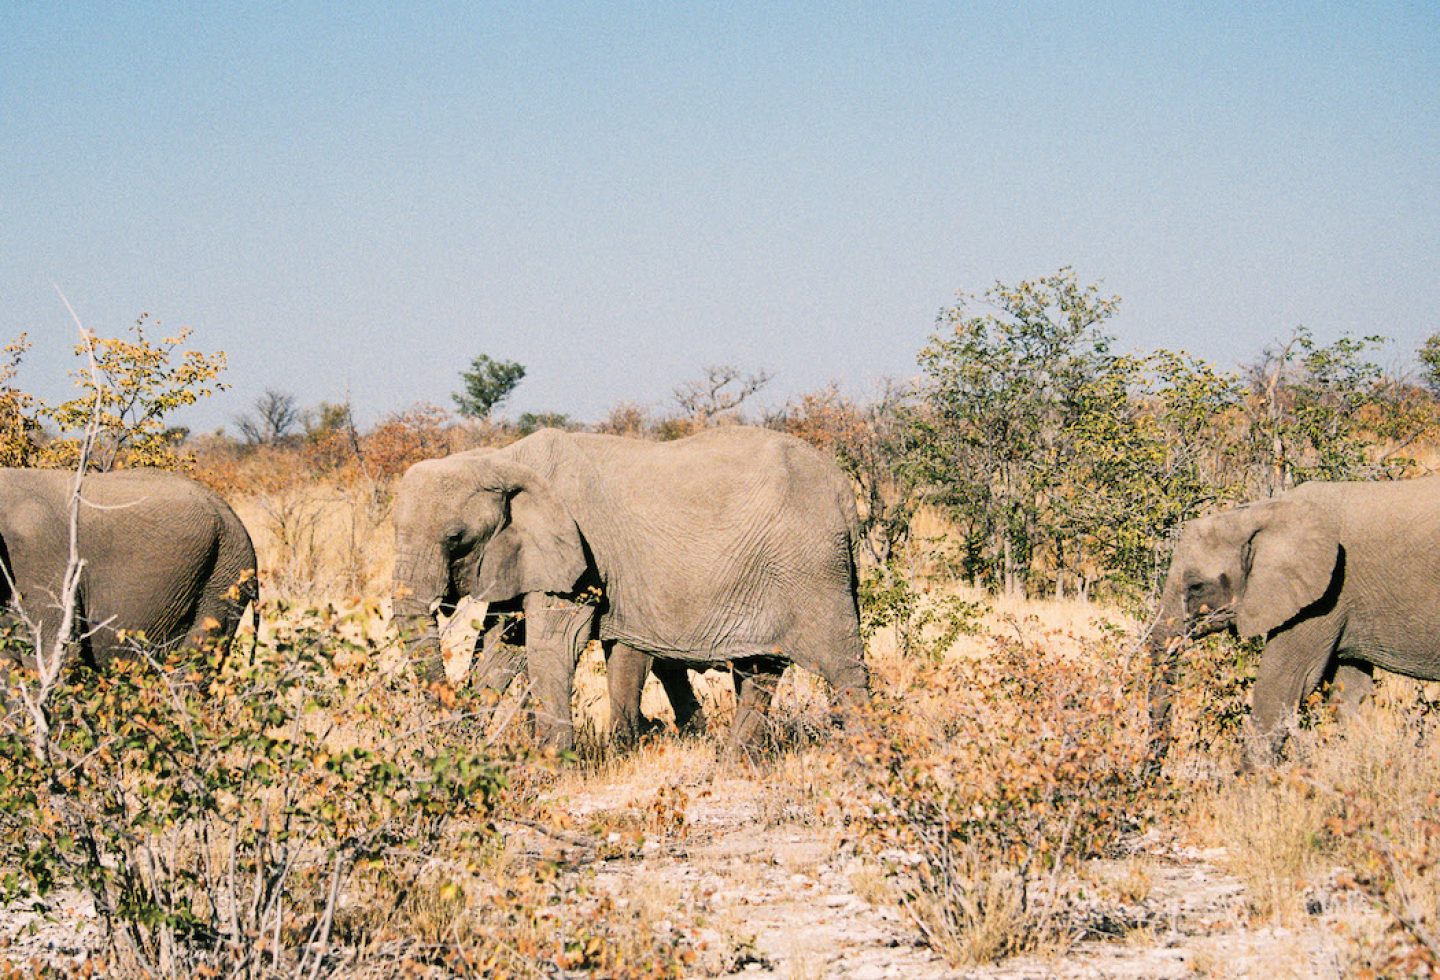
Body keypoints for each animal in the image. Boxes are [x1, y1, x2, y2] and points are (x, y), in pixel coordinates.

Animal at [388, 423, 869, 754]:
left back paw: (867, 757)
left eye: (456, 538)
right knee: (761, 671)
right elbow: (502, 646)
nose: (449, 729)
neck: (501, 458)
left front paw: (550, 765)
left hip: (812, 567)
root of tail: (843, 489)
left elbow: (551, 643)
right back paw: (733, 763)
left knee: (844, 666)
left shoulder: (575, 552)